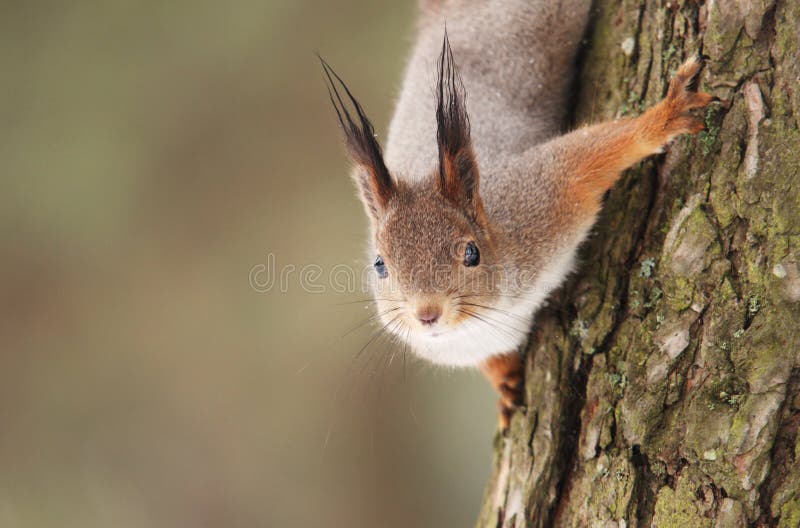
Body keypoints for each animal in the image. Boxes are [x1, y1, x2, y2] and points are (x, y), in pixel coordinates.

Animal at [322, 1, 716, 434]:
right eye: (379, 265)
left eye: (471, 253)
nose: (426, 315)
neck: (479, 323)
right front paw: (503, 381)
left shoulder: (540, 204)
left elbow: (582, 161)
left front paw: (663, 117)